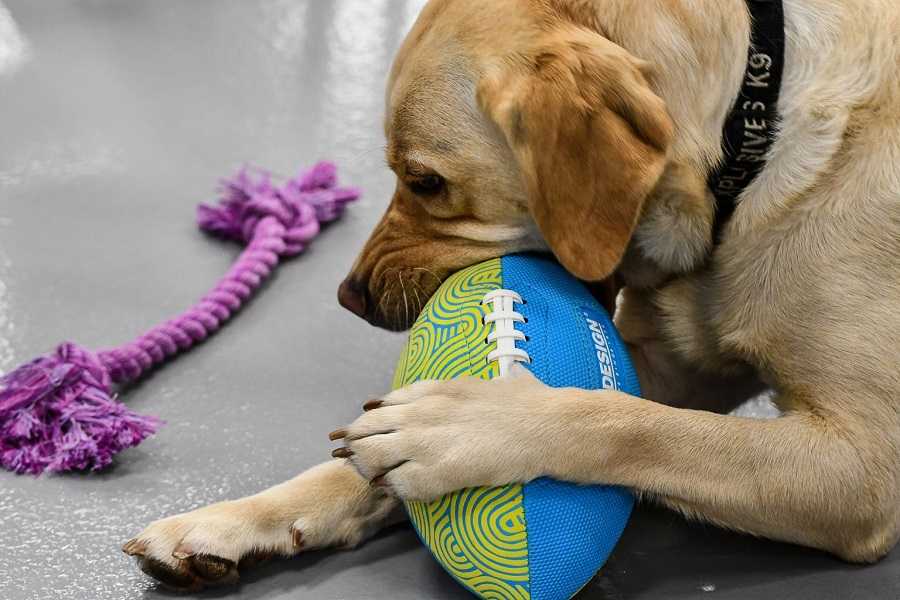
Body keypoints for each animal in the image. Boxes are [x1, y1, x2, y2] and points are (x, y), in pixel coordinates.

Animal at [123, 0, 896, 592]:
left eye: (425, 180)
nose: (348, 297)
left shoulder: (865, 466)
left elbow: (633, 424)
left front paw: (468, 426)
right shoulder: (663, 366)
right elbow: (356, 461)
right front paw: (234, 520)